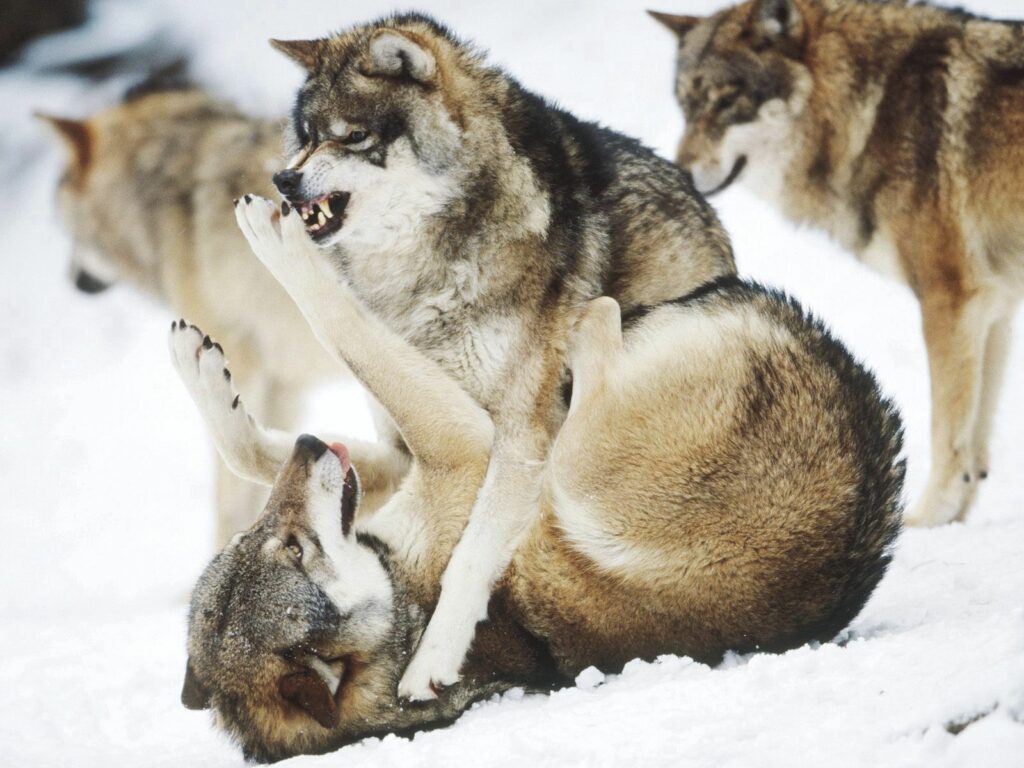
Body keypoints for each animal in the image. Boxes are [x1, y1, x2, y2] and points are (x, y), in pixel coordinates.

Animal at [169, 269, 904, 762]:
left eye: (269, 537)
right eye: (294, 548)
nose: (309, 444)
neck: (402, 599)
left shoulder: (437, 462)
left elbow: (250, 450)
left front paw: (202, 370)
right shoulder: (467, 447)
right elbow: (344, 327)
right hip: (579, 468)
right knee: (597, 332)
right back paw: (580, 331)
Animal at [239, 13, 735, 700]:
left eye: (352, 136)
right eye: (306, 137)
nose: (284, 180)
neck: (422, 272)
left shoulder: (520, 437)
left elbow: (468, 556)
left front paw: (430, 662)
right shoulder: (404, 437)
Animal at [650, 0, 1024, 527]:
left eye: (728, 102)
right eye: (686, 105)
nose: (679, 171)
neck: (870, 109)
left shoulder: (950, 302)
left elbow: (948, 435)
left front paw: (925, 522)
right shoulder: (996, 307)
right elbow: (975, 443)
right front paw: (954, 524)